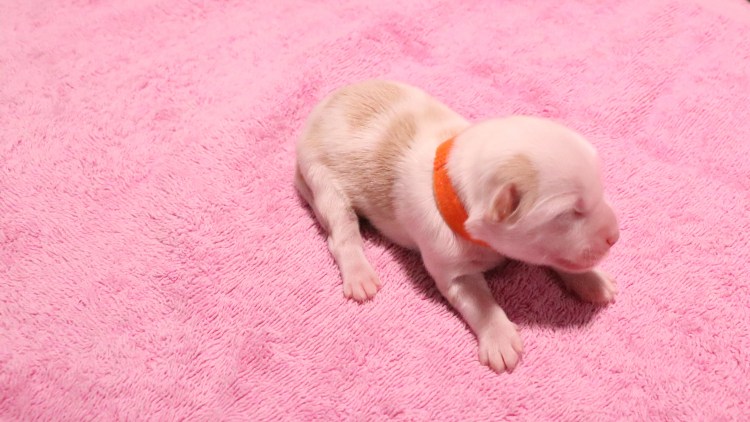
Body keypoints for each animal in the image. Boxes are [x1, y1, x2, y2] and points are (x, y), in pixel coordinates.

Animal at [294, 80, 619, 373]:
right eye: (570, 212)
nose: (615, 236)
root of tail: (322, 107)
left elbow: (555, 256)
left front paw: (592, 280)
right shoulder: (451, 267)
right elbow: (480, 302)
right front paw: (500, 338)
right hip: (322, 180)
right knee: (341, 235)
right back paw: (359, 275)